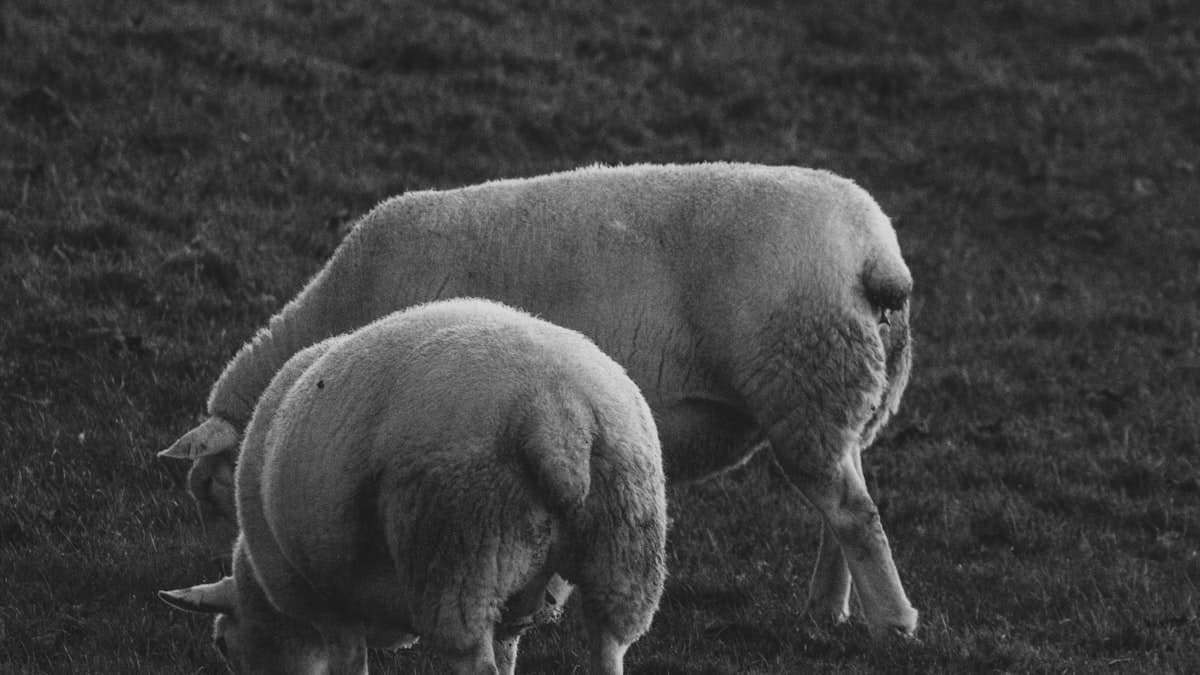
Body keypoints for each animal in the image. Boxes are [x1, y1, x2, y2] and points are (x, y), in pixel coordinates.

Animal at [159, 298, 668, 675]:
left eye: (222, 644)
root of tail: (557, 416)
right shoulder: (509, 610)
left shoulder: (330, 607)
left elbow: (351, 665)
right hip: (623, 550)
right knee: (610, 646)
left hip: (457, 552)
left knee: (472, 660)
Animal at [161, 161, 919, 636]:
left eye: (211, 487)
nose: (244, 565)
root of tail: (876, 256)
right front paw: (548, 601)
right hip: (838, 398)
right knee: (844, 511)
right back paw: (828, 609)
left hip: (805, 382)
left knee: (854, 517)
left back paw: (893, 622)